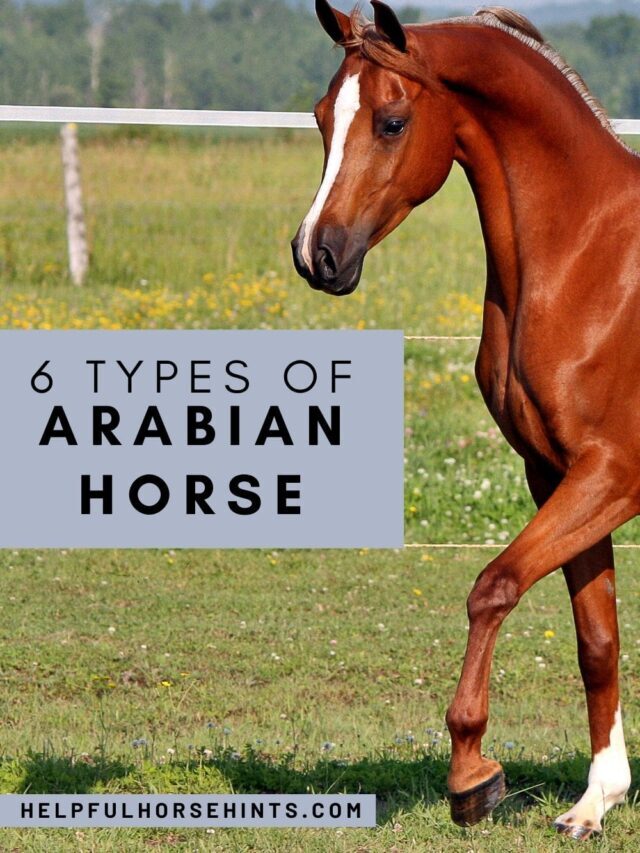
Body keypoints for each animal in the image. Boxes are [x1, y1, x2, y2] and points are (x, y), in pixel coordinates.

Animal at [291, 0, 640, 840]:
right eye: (321, 116)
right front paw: (596, 799)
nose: (316, 254)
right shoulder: (558, 474)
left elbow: (494, 585)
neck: (591, 258)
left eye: (391, 121)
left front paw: (471, 773)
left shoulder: (614, 473)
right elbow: (596, 638)